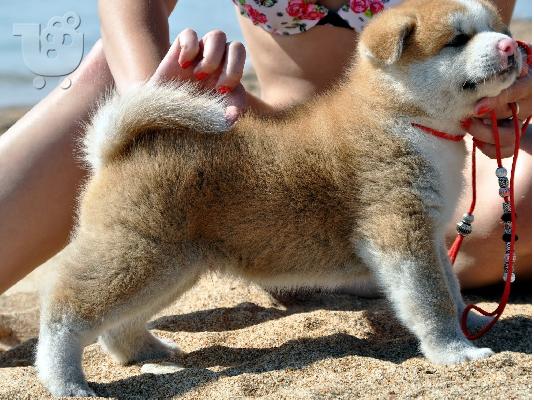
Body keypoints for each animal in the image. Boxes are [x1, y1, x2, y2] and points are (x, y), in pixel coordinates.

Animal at [35, 0, 524, 396]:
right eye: (458, 39)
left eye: (497, 26)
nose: (512, 46)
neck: (403, 117)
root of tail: (117, 149)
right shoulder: (400, 230)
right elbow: (432, 300)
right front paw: (454, 351)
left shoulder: (431, 235)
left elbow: (452, 289)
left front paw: (472, 322)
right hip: (138, 254)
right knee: (65, 313)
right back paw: (65, 380)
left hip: (172, 268)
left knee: (118, 326)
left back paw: (146, 351)